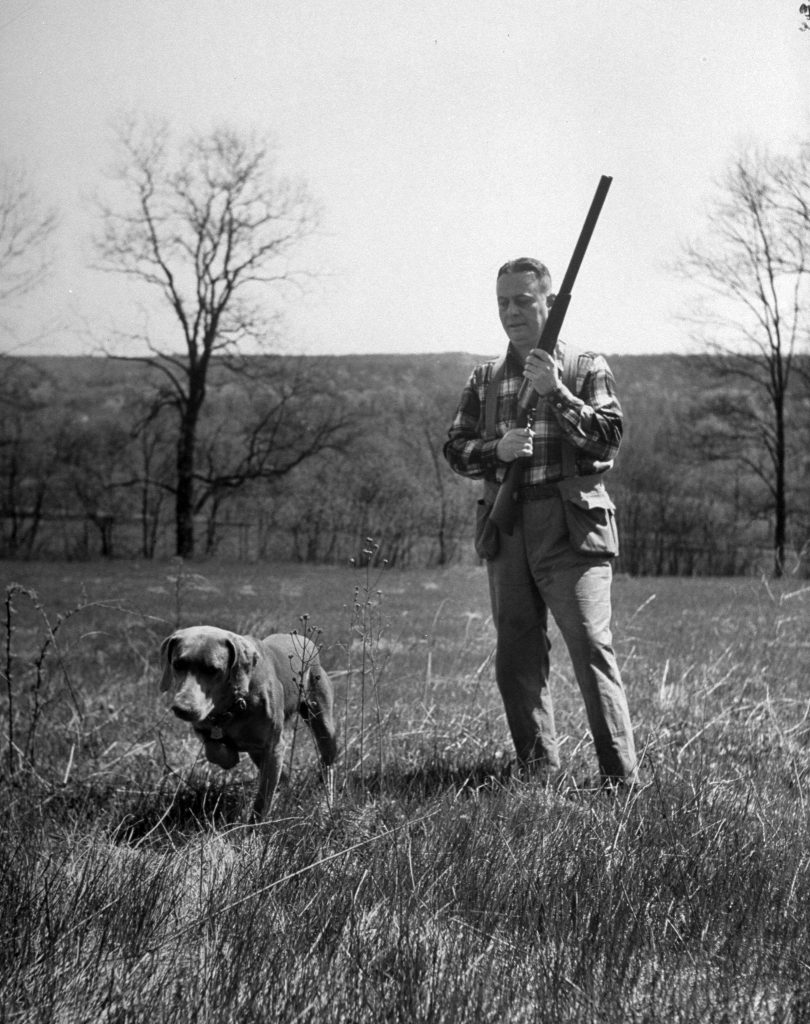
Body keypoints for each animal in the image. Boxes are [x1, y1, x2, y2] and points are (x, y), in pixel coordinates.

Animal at [159, 618, 337, 819]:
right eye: (177, 664)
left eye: (213, 670)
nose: (182, 709)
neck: (234, 705)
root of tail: (306, 641)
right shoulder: (211, 729)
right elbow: (215, 749)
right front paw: (228, 754)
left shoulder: (274, 746)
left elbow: (263, 799)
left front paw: (256, 825)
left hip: (322, 721)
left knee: (327, 763)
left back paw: (326, 803)